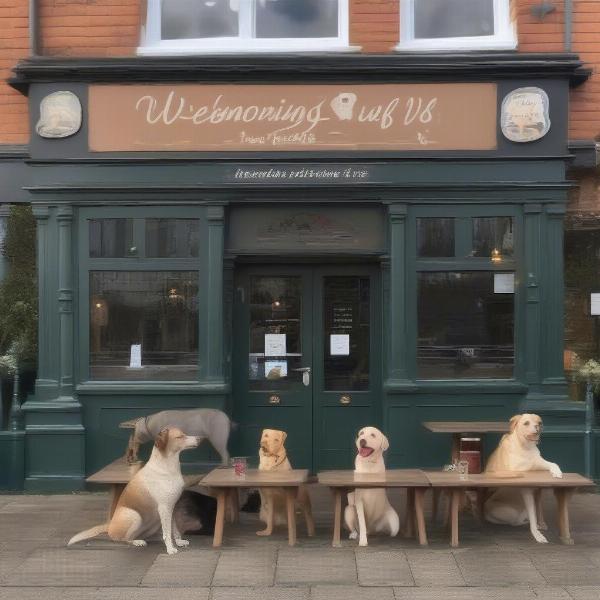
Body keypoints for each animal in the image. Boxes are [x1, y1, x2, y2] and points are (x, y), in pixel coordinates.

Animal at [68, 428, 199, 556]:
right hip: (134, 515)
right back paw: (137, 542)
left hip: (154, 520)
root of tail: (109, 526)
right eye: (180, 436)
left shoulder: (172, 507)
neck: (167, 466)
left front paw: (178, 542)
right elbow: (167, 532)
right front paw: (170, 549)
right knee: (124, 539)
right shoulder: (164, 508)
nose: (198, 438)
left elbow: (173, 528)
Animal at [482, 412, 564, 544]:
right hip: (509, 512)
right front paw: (537, 535)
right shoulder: (524, 484)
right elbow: (533, 516)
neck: (526, 447)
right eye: (526, 423)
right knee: (516, 522)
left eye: (539, 422)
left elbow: (553, 464)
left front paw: (557, 472)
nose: (538, 426)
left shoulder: (539, 463)